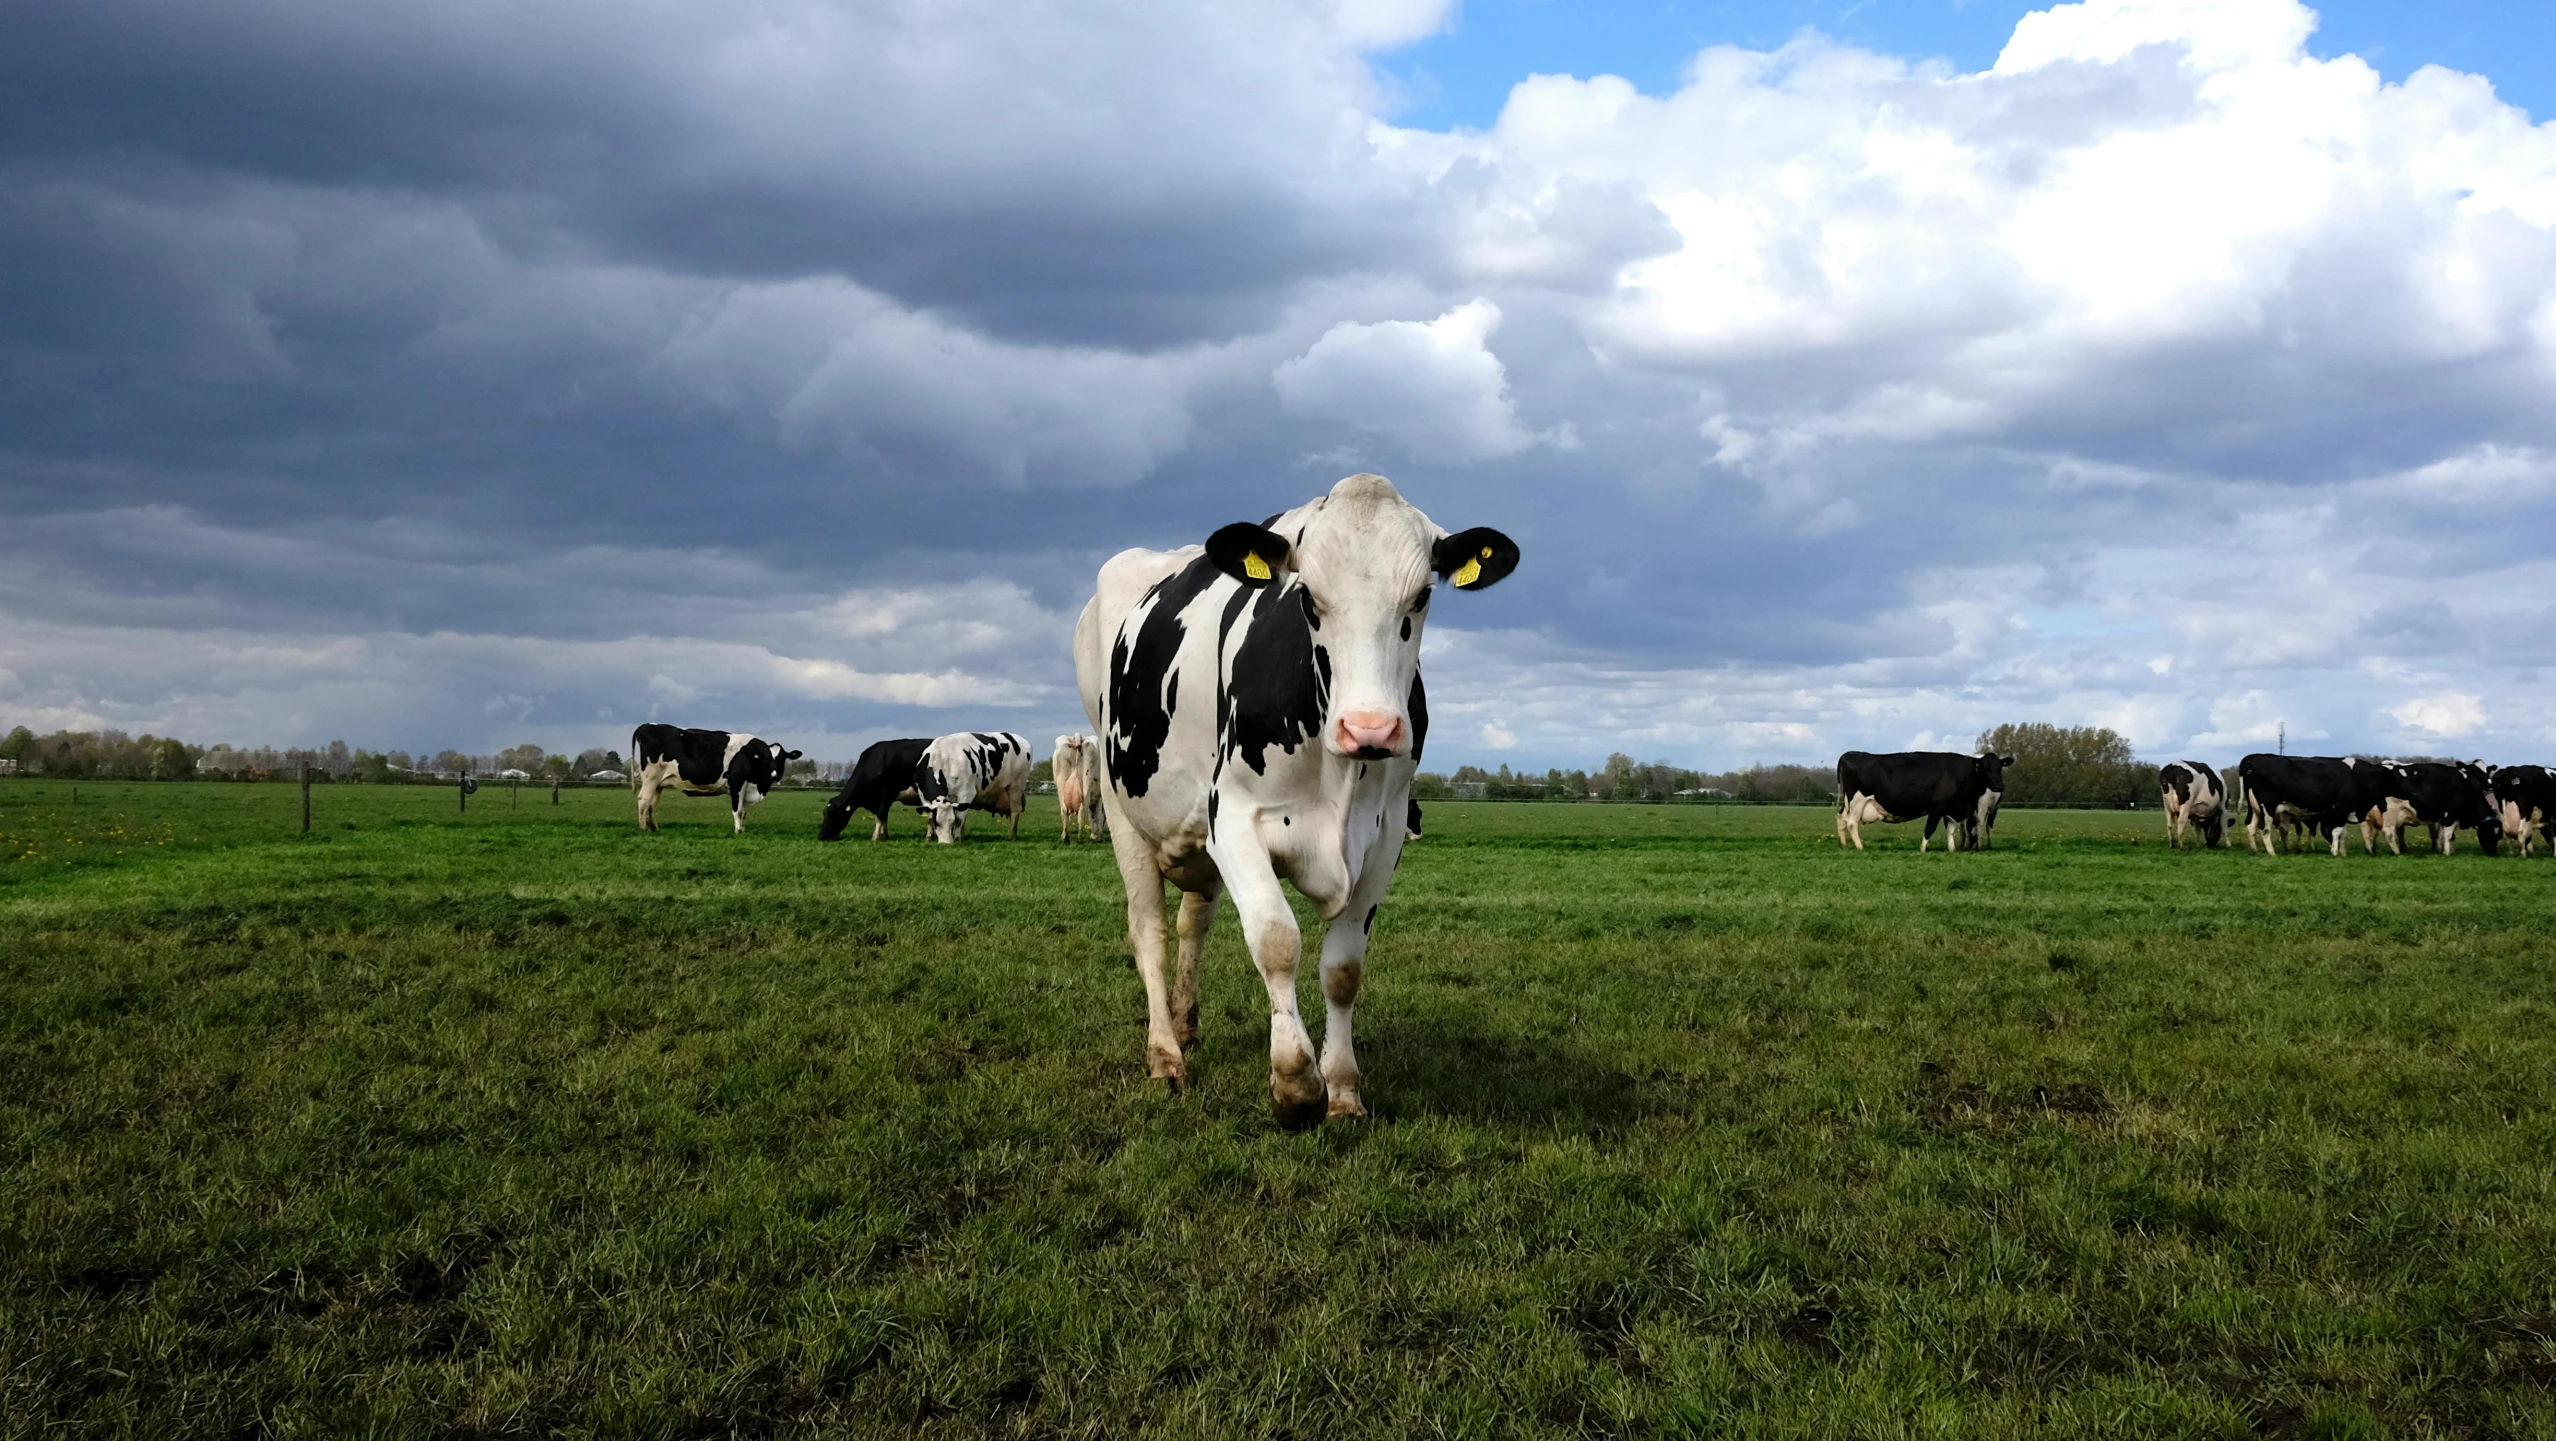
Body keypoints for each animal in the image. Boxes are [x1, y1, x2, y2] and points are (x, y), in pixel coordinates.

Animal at [628, 720, 797, 832]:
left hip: (658, 782)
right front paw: (738, 831)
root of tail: (647, 725)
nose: (775, 775)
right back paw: (643, 828)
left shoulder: (746, 788)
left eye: (782, 758)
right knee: (643, 799)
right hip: (651, 777)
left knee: (653, 803)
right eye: (767, 758)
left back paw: (654, 828)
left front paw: (742, 829)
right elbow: (737, 810)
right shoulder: (737, 783)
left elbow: (744, 812)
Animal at [1078, 472, 1513, 1124]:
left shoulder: (1386, 834)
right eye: (1308, 597)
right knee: (1149, 929)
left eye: (1421, 598)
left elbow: (1343, 968)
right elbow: (1277, 941)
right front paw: (1295, 1083)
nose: (1369, 729)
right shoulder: (1232, 818)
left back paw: (1185, 1023)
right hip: (1121, 804)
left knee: (1191, 921)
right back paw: (1165, 1054)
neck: (1342, 777)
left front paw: (1344, 1089)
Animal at [1840, 751, 2014, 848]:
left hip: (1847, 803)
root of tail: (1848, 754)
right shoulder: (1937, 807)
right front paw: (1922, 849)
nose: (1999, 786)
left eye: (2000, 768)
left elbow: (1951, 830)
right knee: (1851, 823)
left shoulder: (1952, 808)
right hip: (1857, 801)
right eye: (1985, 768)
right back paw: (1860, 846)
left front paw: (1952, 850)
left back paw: (1844, 845)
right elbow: (1929, 828)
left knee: (1841, 819)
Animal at [2239, 756, 2392, 853]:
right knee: (2265, 830)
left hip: (2255, 808)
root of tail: (2251, 758)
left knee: (2251, 826)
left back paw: (2255, 850)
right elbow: (2335, 831)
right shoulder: (2339, 811)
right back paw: (2272, 852)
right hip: (2267, 807)